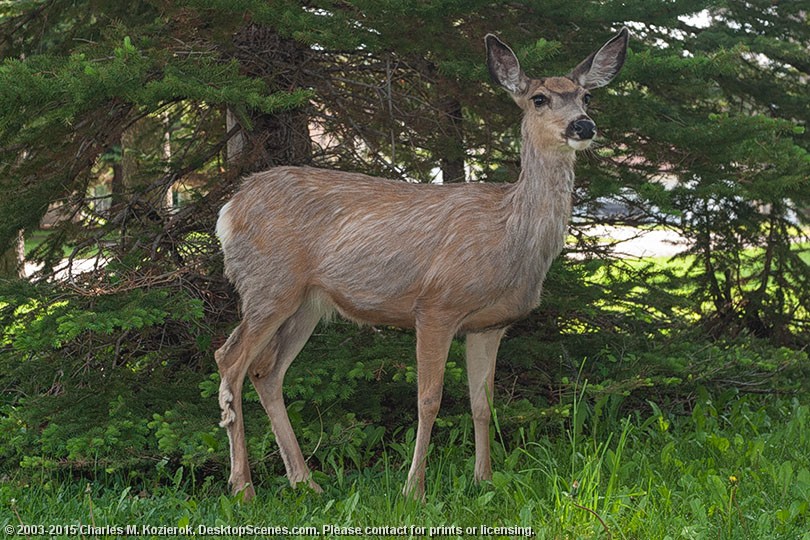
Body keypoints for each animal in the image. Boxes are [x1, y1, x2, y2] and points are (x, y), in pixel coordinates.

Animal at [213, 28, 624, 502]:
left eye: (587, 96)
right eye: (539, 98)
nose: (583, 126)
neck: (509, 234)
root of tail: (229, 210)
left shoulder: (490, 324)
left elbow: (483, 404)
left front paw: (484, 480)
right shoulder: (436, 306)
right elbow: (429, 399)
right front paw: (415, 490)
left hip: (306, 303)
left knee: (266, 372)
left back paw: (306, 481)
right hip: (268, 285)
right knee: (230, 360)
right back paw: (243, 487)